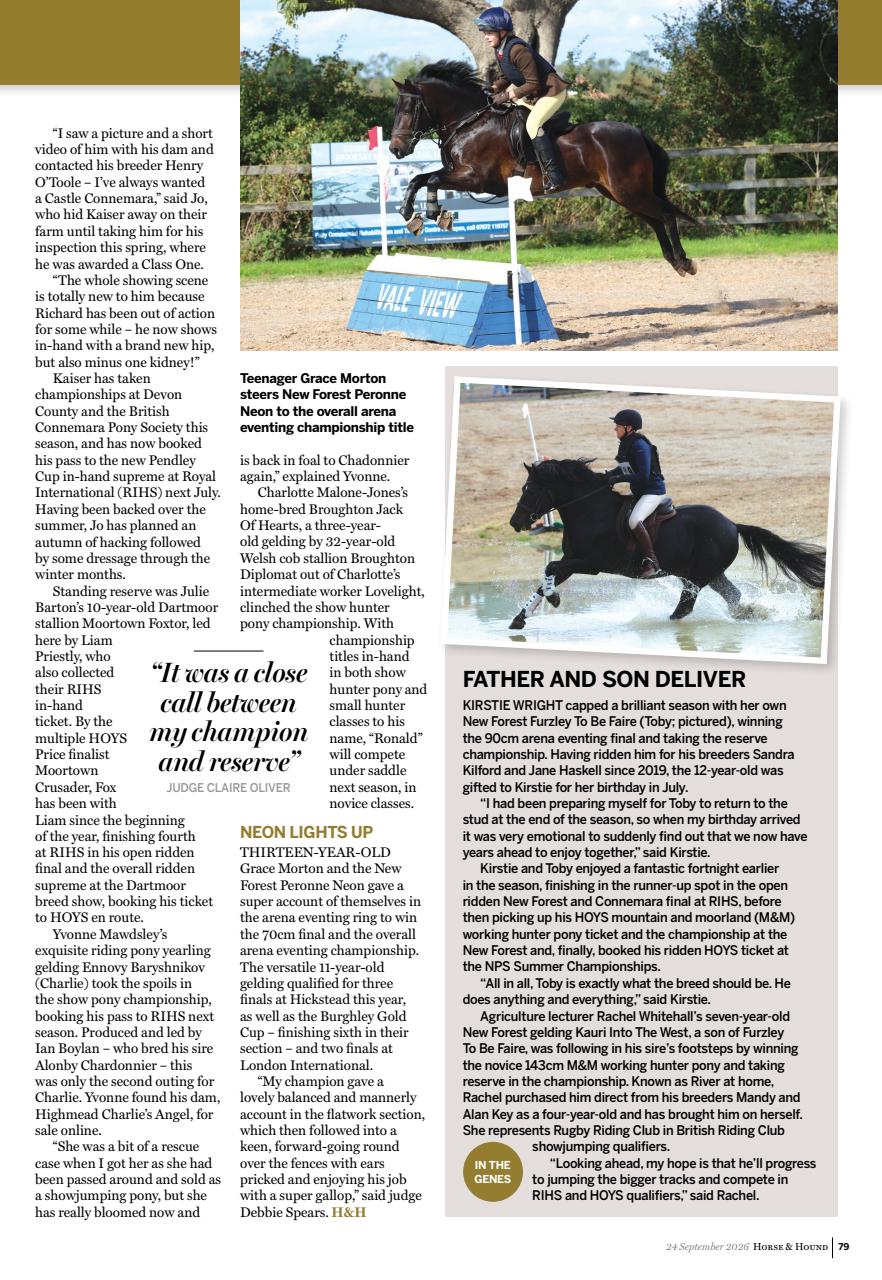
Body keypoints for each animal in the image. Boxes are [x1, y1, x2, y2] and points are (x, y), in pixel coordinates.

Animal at [389, 60, 697, 277]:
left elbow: (431, 180)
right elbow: (420, 178)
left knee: (666, 215)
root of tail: (638, 133)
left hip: (629, 190)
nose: (395, 149)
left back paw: (684, 261)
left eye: (408, 110)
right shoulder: (459, 174)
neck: (469, 121)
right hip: (617, 192)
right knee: (655, 220)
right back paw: (674, 262)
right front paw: (411, 215)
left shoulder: (475, 178)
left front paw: (433, 213)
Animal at [507, 459, 826, 630]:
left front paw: (554, 600)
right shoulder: (572, 561)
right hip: (707, 574)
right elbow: (545, 577)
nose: (515, 522)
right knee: (732, 596)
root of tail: (732, 524)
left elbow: (550, 566)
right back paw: (749, 614)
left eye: (530, 490)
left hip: (698, 576)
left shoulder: (591, 563)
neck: (590, 510)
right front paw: (519, 619)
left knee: (686, 606)